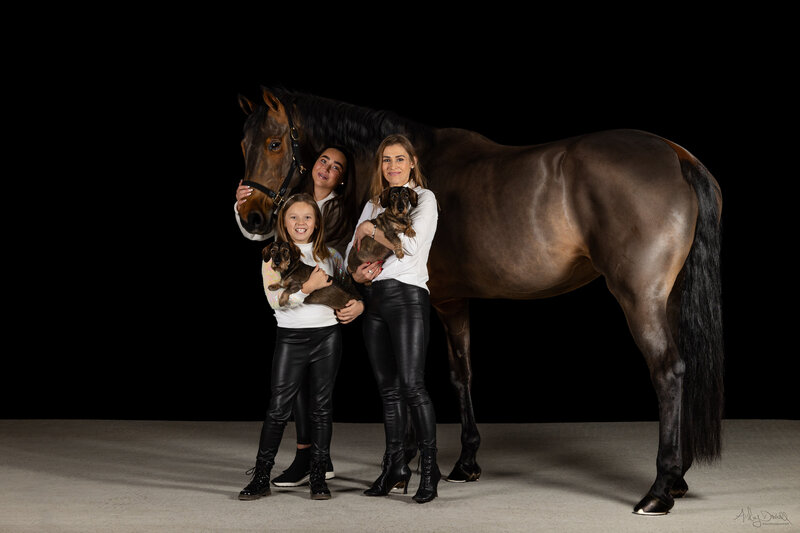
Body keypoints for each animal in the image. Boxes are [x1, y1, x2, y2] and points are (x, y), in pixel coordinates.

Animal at [235, 87, 723, 515]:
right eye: (242, 142)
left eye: (274, 143)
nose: (251, 217)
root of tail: (677, 156)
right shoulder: (458, 301)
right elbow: (462, 373)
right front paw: (464, 463)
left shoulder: (441, 301)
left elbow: (434, 376)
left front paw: (408, 465)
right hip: (669, 297)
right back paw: (677, 479)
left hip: (639, 297)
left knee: (668, 371)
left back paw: (658, 490)